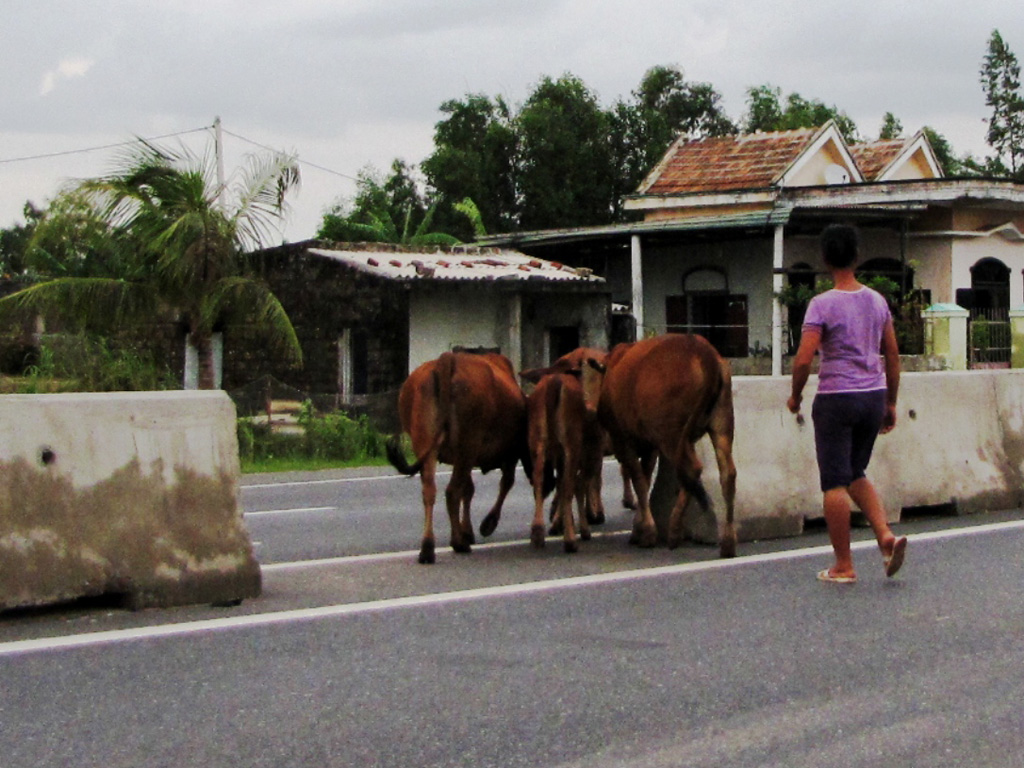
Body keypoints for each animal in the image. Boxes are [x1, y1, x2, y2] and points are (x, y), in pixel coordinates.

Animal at [385, 352, 528, 561]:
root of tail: (446, 359)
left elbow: (469, 489)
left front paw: (468, 531)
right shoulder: (510, 453)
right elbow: (505, 483)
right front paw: (486, 525)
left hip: (428, 446)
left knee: (430, 491)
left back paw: (428, 548)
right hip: (467, 447)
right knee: (452, 492)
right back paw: (457, 543)